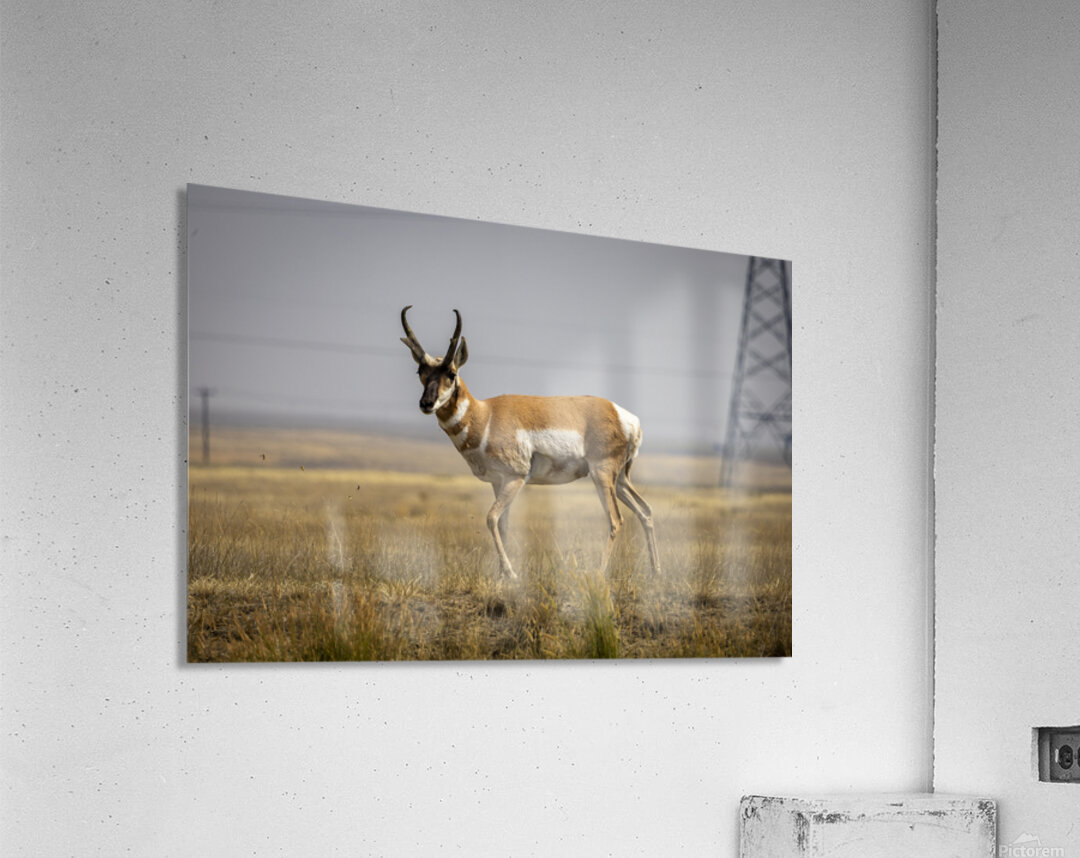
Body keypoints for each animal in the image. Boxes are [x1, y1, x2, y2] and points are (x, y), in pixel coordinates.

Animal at [400, 306, 661, 579]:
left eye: (451, 373)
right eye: (420, 372)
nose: (426, 403)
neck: (485, 415)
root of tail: (624, 416)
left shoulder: (515, 478)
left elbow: (491, 518)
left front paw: (511, 573)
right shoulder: (497, 482)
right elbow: (502, 524)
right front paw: (501, 575)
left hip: (602, 475)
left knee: (615, 520)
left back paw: (599, 573)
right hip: (619, 479)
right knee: (645, 510)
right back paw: (656, 572)